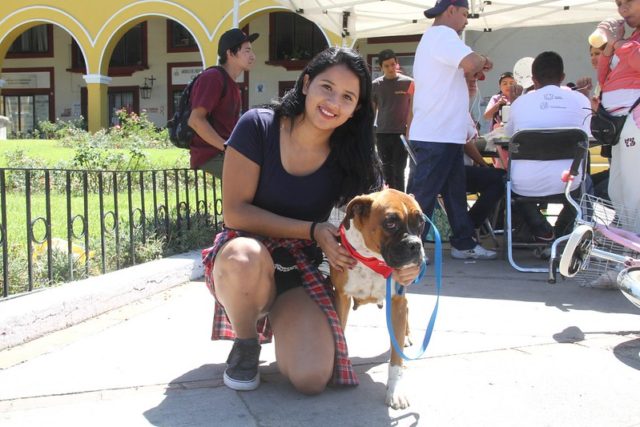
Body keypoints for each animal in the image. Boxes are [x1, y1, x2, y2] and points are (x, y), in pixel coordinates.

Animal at [330, 188, 426, 409]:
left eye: (421, 222)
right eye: (390, 222)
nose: (415, 245)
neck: (373, 259)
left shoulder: (397, 301)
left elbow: (396, 360)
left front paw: (395, 390)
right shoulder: (342, 297)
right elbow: (340, 334)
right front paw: (340, 370)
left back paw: (406, 336)